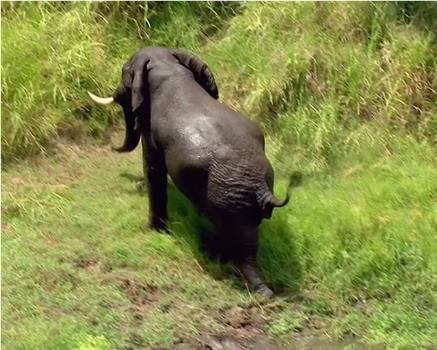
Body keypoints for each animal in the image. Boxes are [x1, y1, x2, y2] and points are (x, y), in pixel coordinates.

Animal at [88, 46, 300, 296]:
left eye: (124, 71)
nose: (111, 146)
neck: (168, 67)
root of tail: (261, 189)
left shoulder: (152, 132)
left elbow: (153, 168)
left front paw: (154, 231)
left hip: (227, 201)